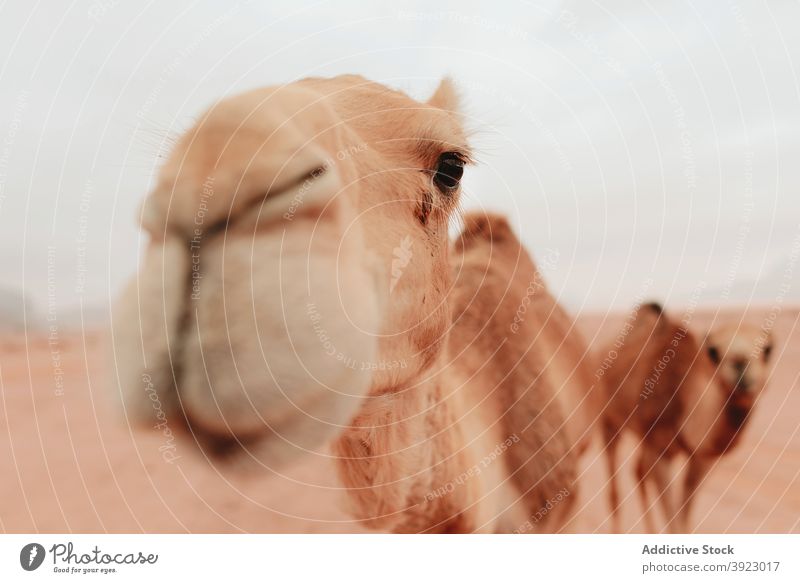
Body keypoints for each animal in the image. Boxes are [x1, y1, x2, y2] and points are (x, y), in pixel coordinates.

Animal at [604, 304, 772, 536]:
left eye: (768, 350)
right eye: (714, 352)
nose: (740, 364)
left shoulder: (701, 458)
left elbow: (684, 515)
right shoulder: (661, 451)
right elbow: (673, 520)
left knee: (639, 470)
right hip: (608, 420)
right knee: (614, 488)